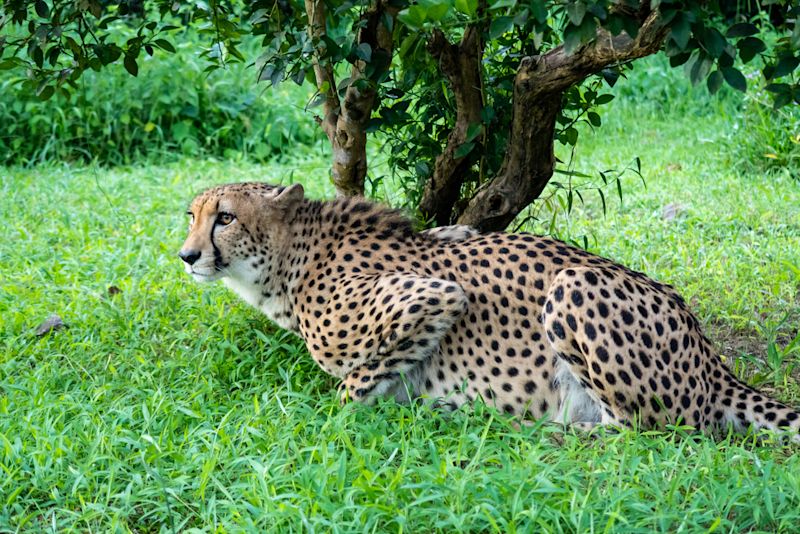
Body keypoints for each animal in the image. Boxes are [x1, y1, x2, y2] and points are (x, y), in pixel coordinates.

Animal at [180, 182, 800, 442]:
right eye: (192, 215)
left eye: (225, 218)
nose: (186, 256)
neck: (293, 259)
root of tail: (712, 361)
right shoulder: (452, 235)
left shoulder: (433, 296)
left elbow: (350, 390)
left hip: (573, 284)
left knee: (654, 431)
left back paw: (536, 430)